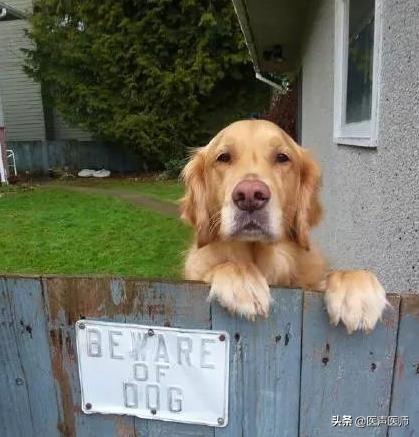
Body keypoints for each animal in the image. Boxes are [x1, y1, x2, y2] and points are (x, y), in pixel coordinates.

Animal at [180, 119, 390, 330]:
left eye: (282, 157)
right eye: (223, 157)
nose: (250, 196)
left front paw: (357, 290)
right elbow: (226, 264)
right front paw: (243, 280)